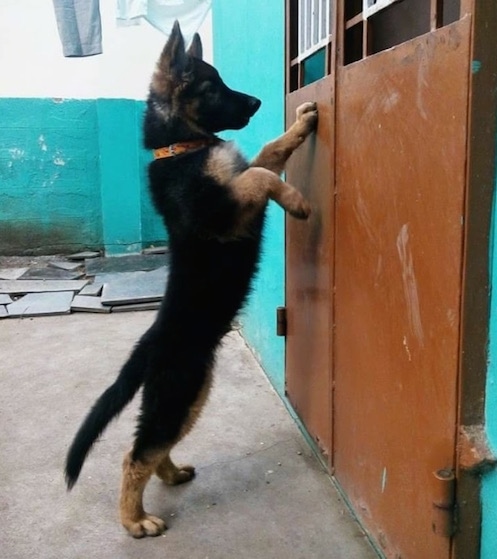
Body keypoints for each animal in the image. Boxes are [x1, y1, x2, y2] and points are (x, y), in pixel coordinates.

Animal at [65, 20, 318, 540]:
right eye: (212, 88)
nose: (258, 102)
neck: (182, 148)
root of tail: (149, 343)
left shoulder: (239, 179)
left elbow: (269, 152)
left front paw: (301, 123)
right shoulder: (222, 207)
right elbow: (262, 176)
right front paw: (298, 202)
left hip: (193, 394)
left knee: (153, 450)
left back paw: (173, 473)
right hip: (177, 392)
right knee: (134, 455)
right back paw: (135, 521)